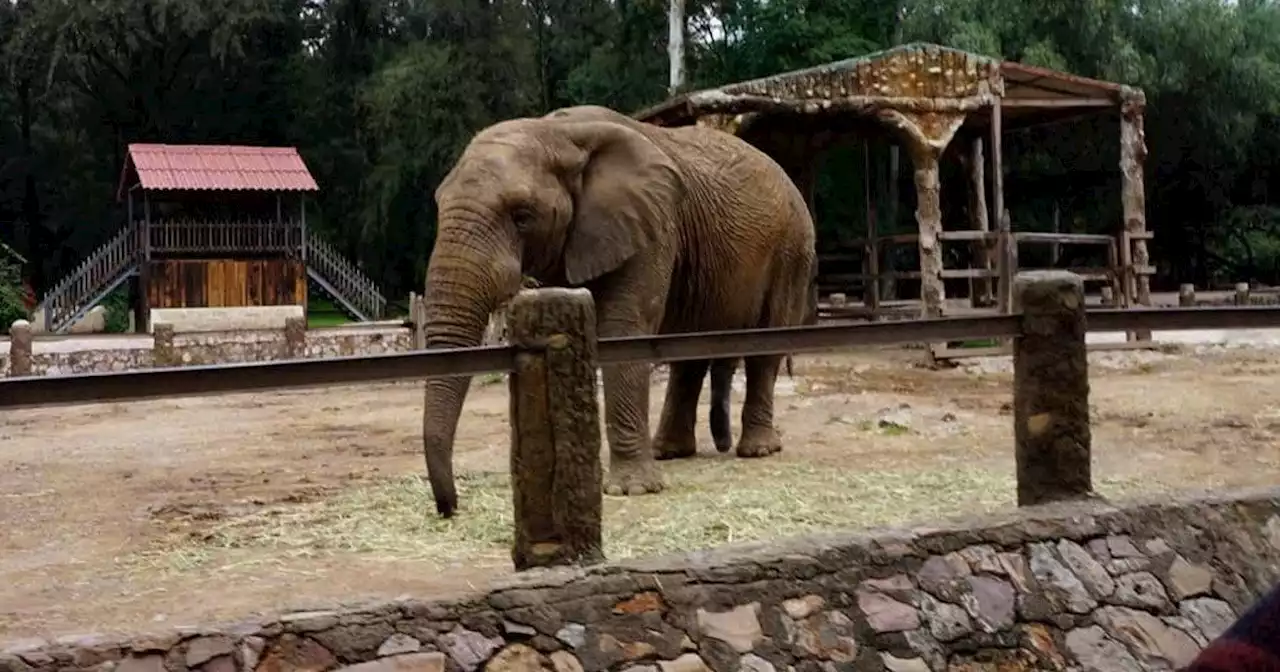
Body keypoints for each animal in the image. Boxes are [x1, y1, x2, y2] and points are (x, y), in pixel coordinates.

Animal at [422, 102, 819, 517]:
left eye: (522, 216)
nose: (450, 508)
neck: (558, 132)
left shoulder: (651, 225)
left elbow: (624, 329)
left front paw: (632, 491)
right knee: (688, 355)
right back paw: (668, 452)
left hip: (792, 249)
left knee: (766, 347)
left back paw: (757, 450)